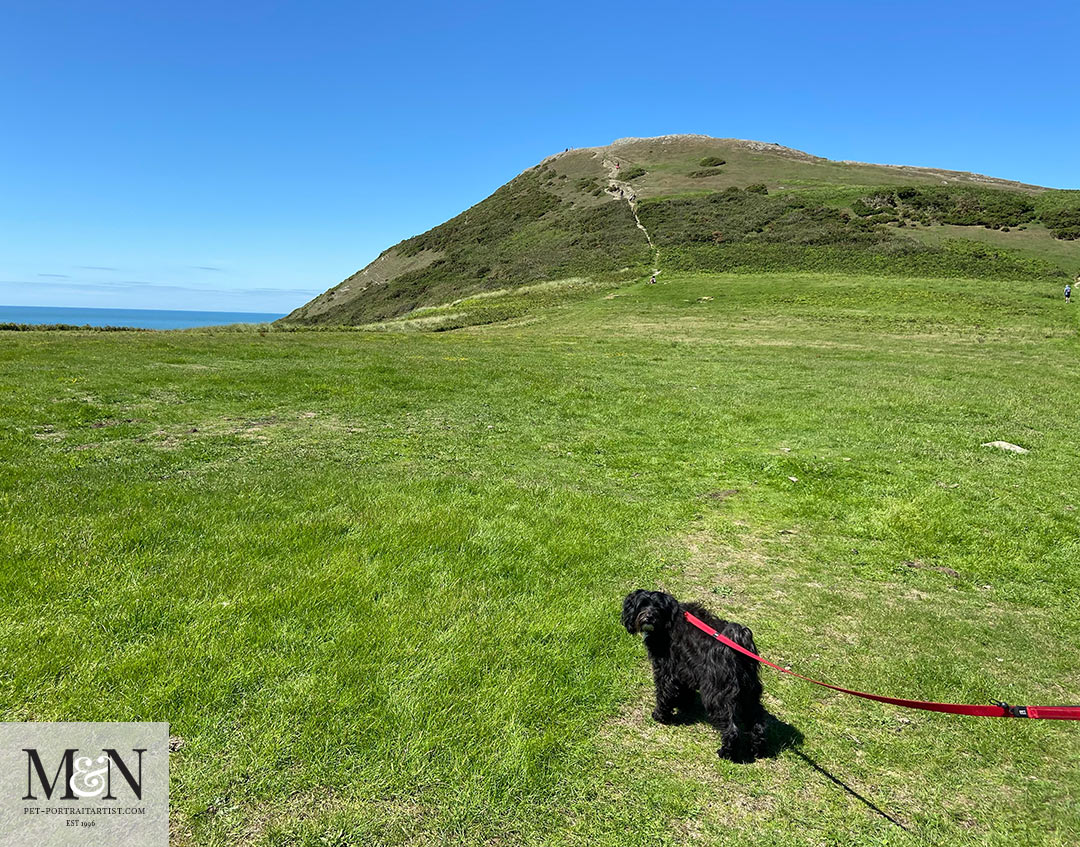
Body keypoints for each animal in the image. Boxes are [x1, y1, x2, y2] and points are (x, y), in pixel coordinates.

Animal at [622, 587, 764, 760]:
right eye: (643, 604)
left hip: (717, 693)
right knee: (757, 720)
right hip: (749, 692)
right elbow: (685, 690)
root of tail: (740, 641)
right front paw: (685, 704)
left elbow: (664, 694)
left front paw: (660, 716)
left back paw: (726, 752)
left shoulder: (666, 671)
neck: (669, 620)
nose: (649, 616)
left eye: (658, 607)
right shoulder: (685, 670)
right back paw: (757, 749)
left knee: (732, 728)